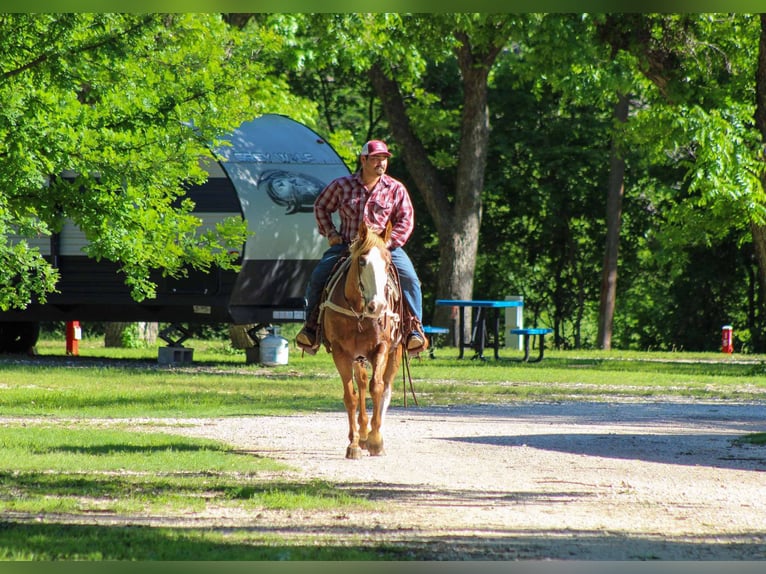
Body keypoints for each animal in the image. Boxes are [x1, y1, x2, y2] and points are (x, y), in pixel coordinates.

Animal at [319, 221, 403, 459]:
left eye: (388, 262)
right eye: (363, 261)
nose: (379, 306)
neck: (360, 312)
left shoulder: (381, 347)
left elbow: (378, 387)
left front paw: (375, 441)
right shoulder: (341, 352)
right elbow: (351, 396)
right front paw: (355, 444)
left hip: (395, 352)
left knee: (385, 389)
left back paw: (374, 434)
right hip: (357, 357)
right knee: (362, 383)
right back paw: (363, 432)